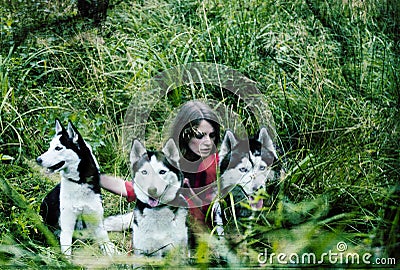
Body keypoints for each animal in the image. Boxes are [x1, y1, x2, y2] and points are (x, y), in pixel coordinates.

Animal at [37, 119, 114, 256]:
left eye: (58, 148)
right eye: (50, 146)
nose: (38, 159)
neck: (79, 183)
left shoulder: (97, 223)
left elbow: (106, 244)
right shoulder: (66, 229)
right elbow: (67, 253)